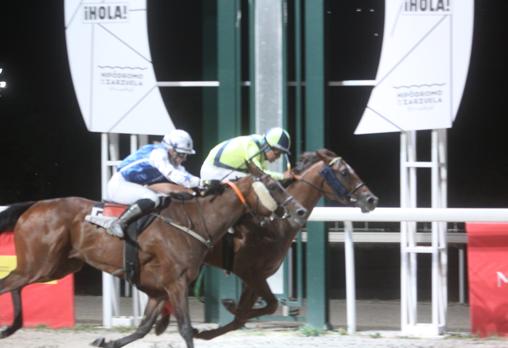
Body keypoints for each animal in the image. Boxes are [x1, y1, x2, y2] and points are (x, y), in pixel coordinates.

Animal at [0, 164, 306, 348]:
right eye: (275, 187)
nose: (301, 211)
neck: (196, 220)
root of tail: (33, 206)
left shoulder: (160, 290)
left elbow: (143, 328)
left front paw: (106, 342)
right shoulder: (176, 283)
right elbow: (185, 328)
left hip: (56, 267)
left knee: (15, 283)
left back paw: (11, 327)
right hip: (41, 265)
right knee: (8, 283)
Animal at [125, 148, 380, 342]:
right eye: (345, 172)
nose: (372, 199)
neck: (276, 223)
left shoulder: (257, 275)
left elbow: (250, 314)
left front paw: (212, 327)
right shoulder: (249, 271)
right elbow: (267, 305)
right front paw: (225, 309)